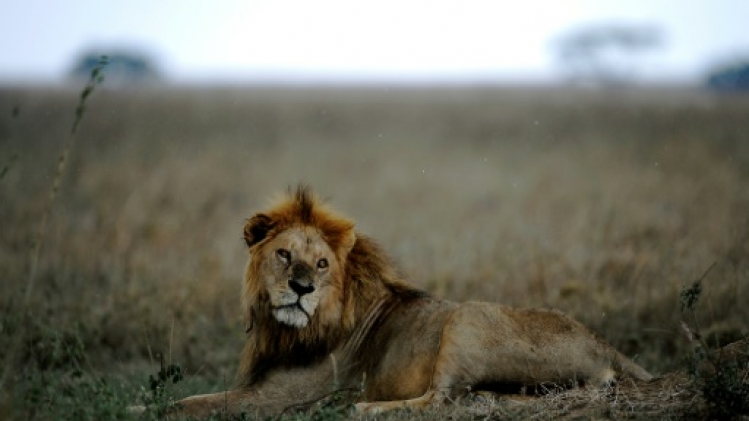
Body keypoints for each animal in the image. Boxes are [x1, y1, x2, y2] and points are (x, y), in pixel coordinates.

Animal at [148, 185, 653, 418]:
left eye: (322, 264)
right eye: (284, 255)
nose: (302, 288)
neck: (285, 330)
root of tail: (607, 346)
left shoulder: (282, 398)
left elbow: (189, 403)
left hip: (467, 318)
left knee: (440, 399)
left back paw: (365, 408)